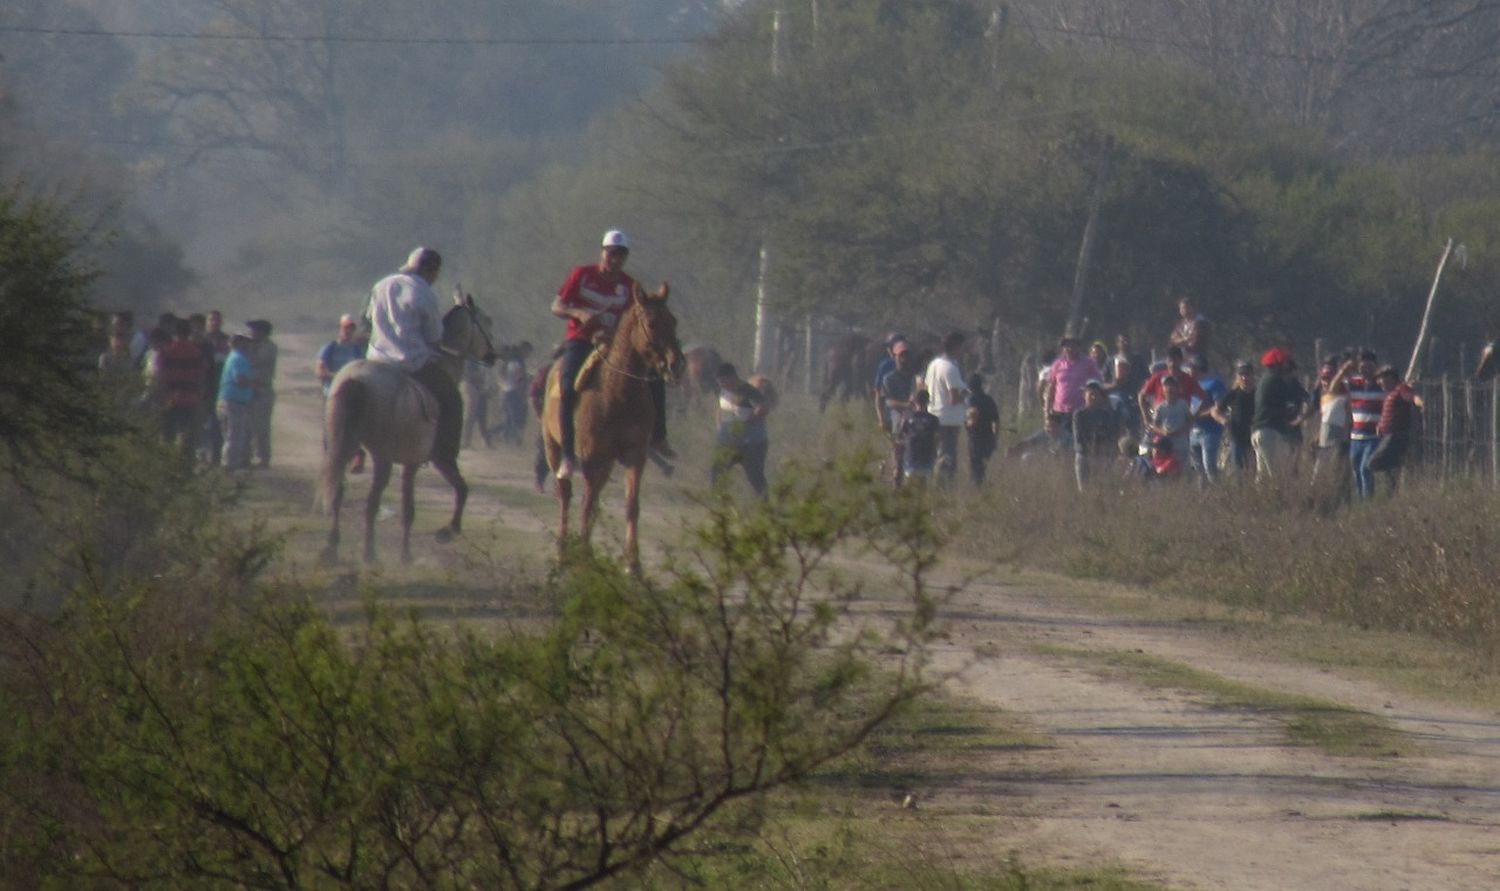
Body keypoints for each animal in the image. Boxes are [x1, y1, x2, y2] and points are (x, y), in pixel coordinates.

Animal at [318, 295, 498, 564]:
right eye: (486, 320)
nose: (493, 355)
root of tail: (356, 379)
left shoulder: (410, 463)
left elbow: (407, 508)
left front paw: (406, 554)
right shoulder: (436, 459)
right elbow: (459, 490)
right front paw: (447, 532)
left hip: (341, 446)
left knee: (338, 492)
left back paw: (331, 548)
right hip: (383, 458)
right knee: (372, 501)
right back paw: (369, 554)